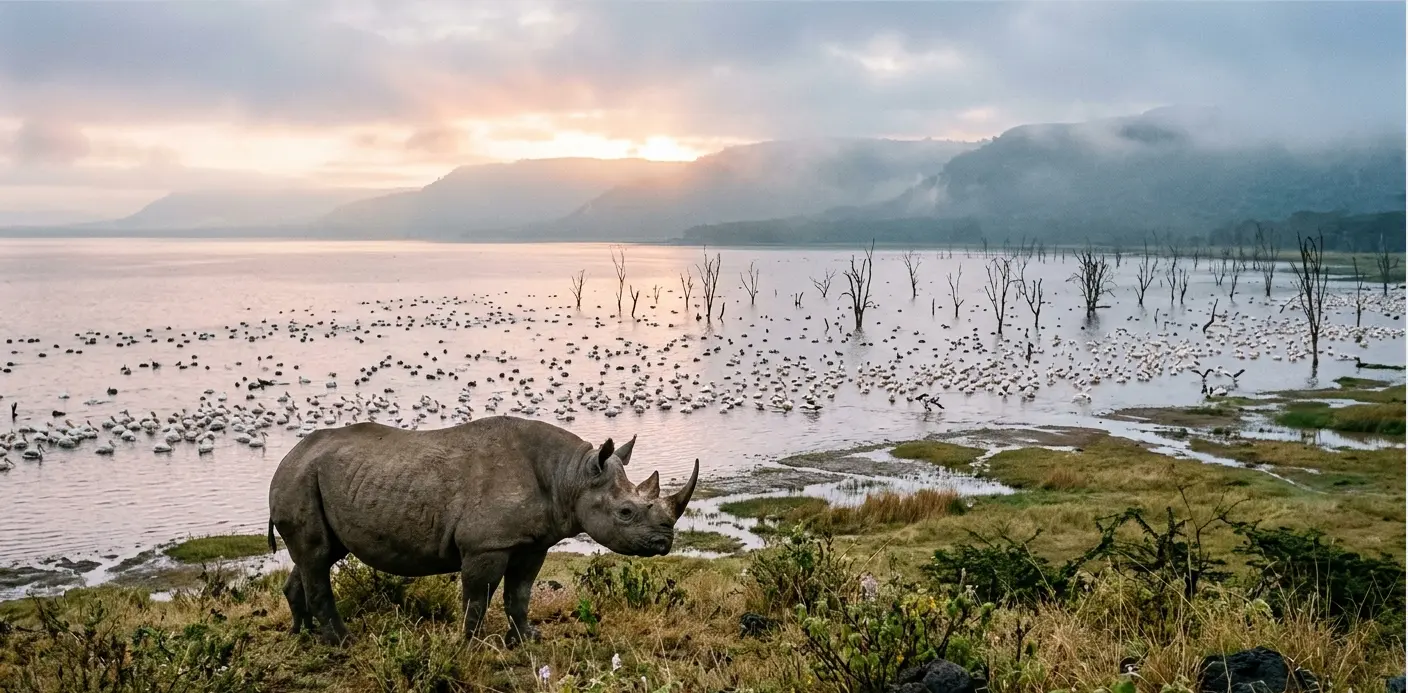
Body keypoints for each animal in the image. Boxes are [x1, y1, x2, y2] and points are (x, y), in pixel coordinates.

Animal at [267, 415, 699, 645]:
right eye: (625, 512)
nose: (664, 542)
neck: (571, 476)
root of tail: (287, 457)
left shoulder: (531, 543)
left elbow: (520, 593)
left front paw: (528, 639)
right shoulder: (486, 544)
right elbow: (478, 595)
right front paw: (470, 642)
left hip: (317, 478)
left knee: (318, 556)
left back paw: (303, 634)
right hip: (298, 479)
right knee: (317, 556)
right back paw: (343, 640)